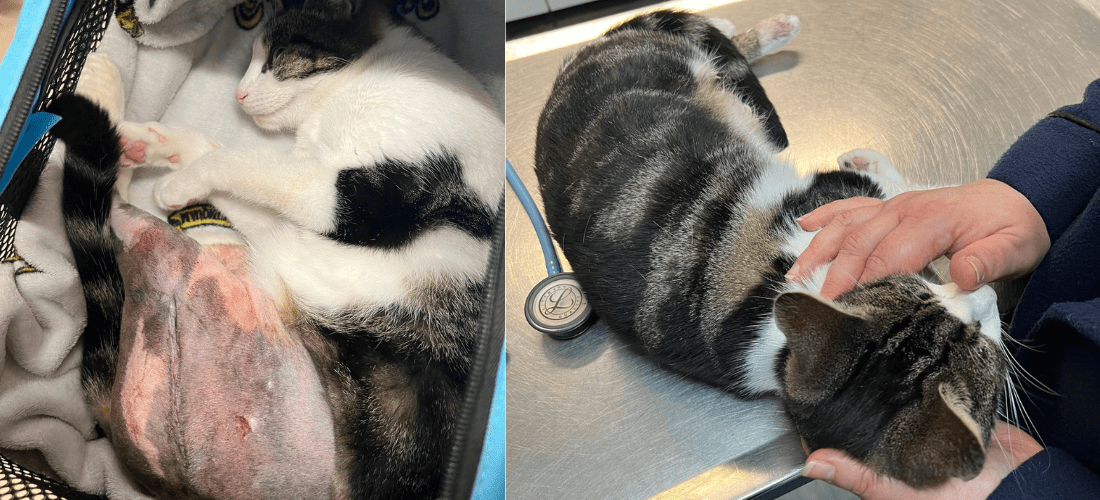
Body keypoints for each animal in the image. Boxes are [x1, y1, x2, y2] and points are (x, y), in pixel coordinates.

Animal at [50, 0, 499, 498]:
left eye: (277, 56)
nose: (240, 95)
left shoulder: (354, 199)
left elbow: (248, 163)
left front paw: (179, 178)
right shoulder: (304, 205)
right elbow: (238, 165)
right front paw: (165, 148)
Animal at [536, 9, 1007, 490]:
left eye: (922, 289)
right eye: (981, 340)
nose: (987, 294)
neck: (780, 348)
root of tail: (582, 55)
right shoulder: (835, 198)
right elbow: (915, 194)